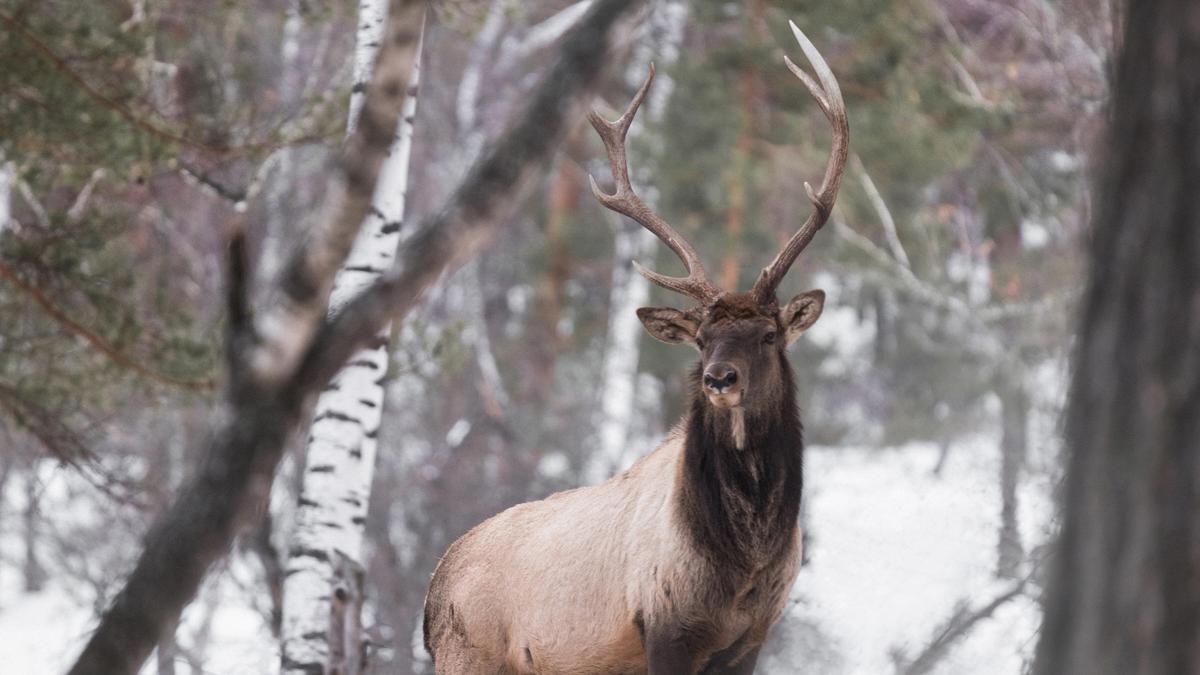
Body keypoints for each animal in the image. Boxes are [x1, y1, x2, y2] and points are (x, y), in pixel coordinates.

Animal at [427, 21, 849, 672]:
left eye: (769, 334)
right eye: (701, 340)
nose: (719, 379)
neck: (744, 566)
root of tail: (431, 592)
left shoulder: (752, 638)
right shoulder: (665, 624)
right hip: (466, 655)